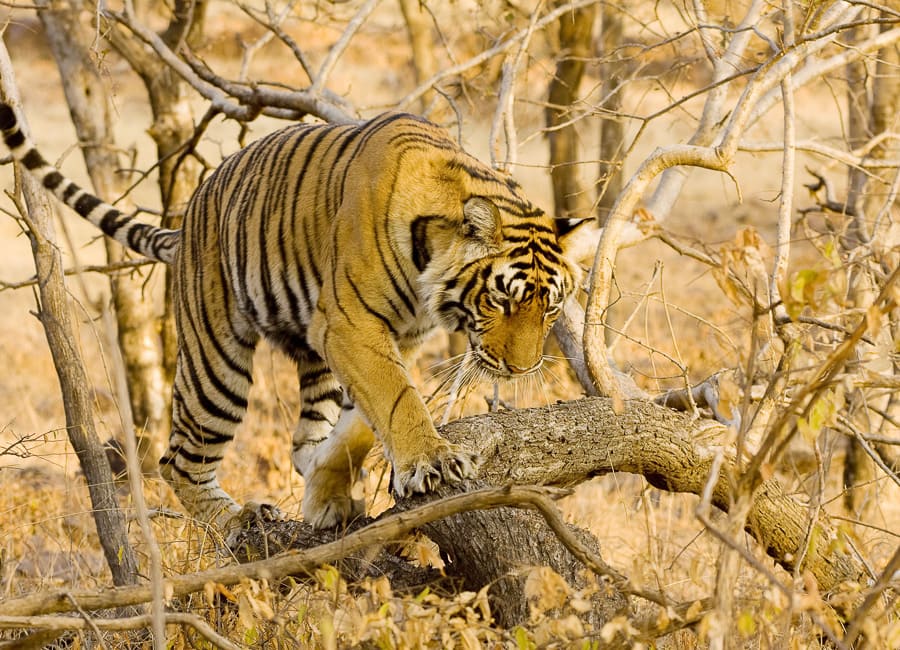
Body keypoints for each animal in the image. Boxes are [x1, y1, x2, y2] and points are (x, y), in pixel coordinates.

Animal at [0, 104, 593, 532]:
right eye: (503, 300)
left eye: (551, 307)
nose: (522, 371)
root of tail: (186, 221)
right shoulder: (351, 325)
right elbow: (398, 398)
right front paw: (431, 461)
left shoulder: (383, 337)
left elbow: (361, 424)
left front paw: (329, 496)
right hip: (216, 366)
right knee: (179, 460)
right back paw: (237, 518)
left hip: (313, 356)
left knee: (302, 440)